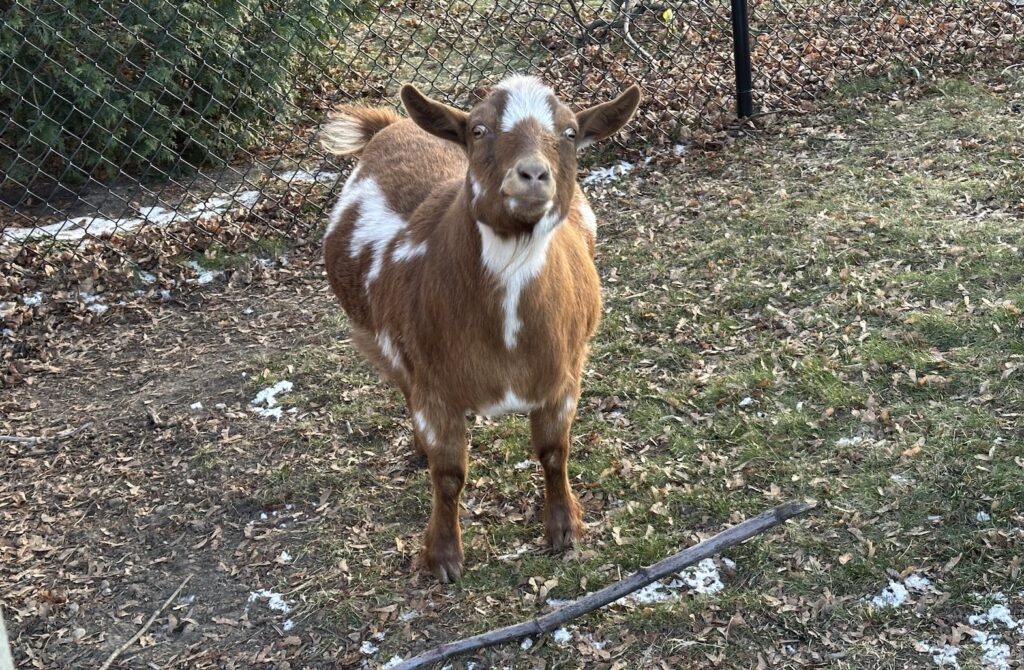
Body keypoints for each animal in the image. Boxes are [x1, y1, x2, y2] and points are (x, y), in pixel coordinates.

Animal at [321, 75, 640, 582]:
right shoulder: (435, 390)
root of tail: (393, 124)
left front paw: (564, 527)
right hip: (377, 340)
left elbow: (554, 451)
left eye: (570, 133)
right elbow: (449, 475)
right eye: (477, 129)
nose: (532, 175)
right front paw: (444, 557)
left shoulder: (564, 376)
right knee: (402, 387)